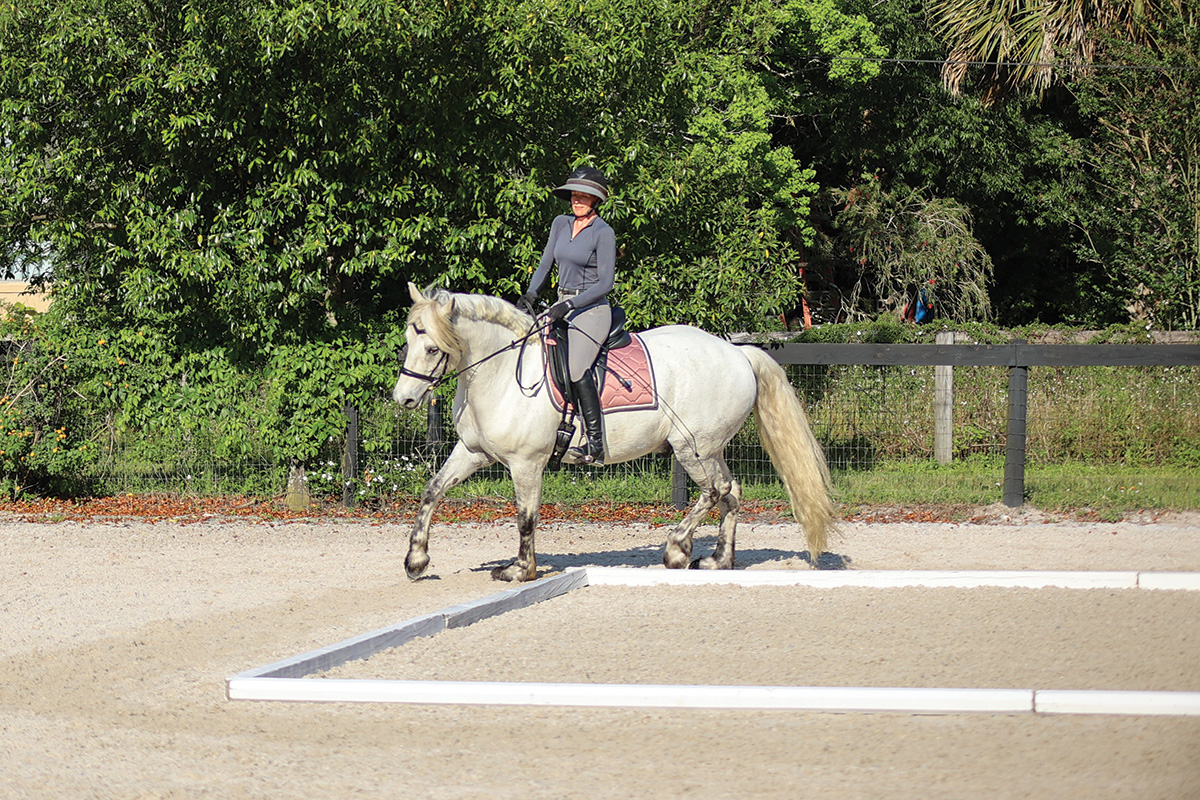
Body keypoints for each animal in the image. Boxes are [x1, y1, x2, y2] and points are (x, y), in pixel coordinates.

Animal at [392, 282, 834, 582]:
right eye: (407, 342)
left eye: (432, 348)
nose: (404, 399)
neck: (501, 373)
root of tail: (737, 353)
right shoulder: (472, 451)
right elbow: (432, 491)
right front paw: (416, 561)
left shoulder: (526, 463)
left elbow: (526, 518)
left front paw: (520, 570)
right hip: (710, 449)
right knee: (731, 492)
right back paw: (717, 560)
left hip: (692, 448)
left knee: (714, 491)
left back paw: (677, 549)